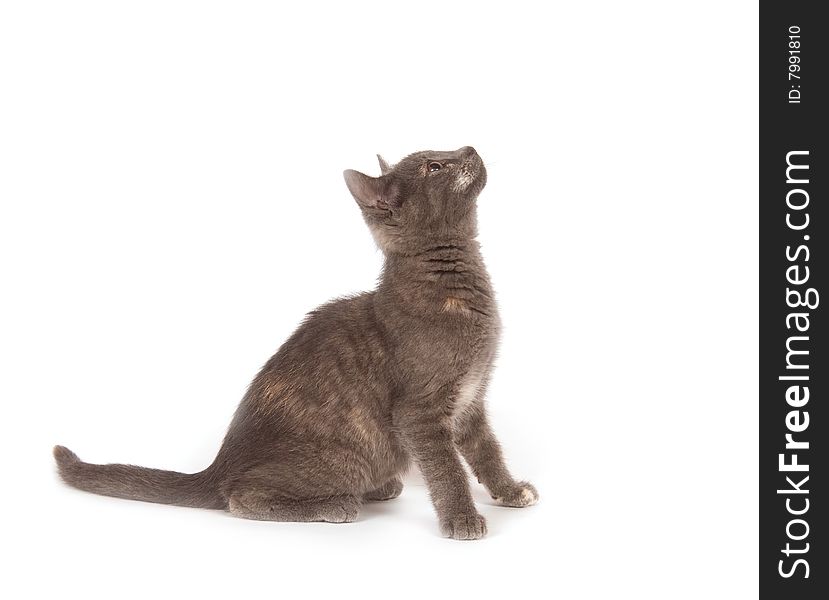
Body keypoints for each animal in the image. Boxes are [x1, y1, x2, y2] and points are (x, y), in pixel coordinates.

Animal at [55, 145, 540, 540]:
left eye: (446, 153)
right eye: (435, 166)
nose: (470, 147)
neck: (456, 287)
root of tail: (219, 464)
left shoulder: (471, 398)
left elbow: (487, 451)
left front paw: (510, 490)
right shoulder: (420, 412)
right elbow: (447, 469)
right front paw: (462, 519)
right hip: (342, 457)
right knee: (240, 496)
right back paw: (335, 504)